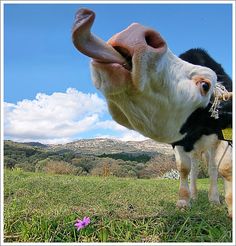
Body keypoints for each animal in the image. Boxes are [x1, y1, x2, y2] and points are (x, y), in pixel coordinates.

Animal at [72, 8, 232, 218]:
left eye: (205, 85)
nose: (134, 33)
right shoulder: (179, 142)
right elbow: (184, 169)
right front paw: (184, 200)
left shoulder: (224, 136)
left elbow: (224, 168)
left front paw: (228, 207)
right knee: (196, 168)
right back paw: (195, 195)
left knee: (212, 168)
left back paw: (213, 199)